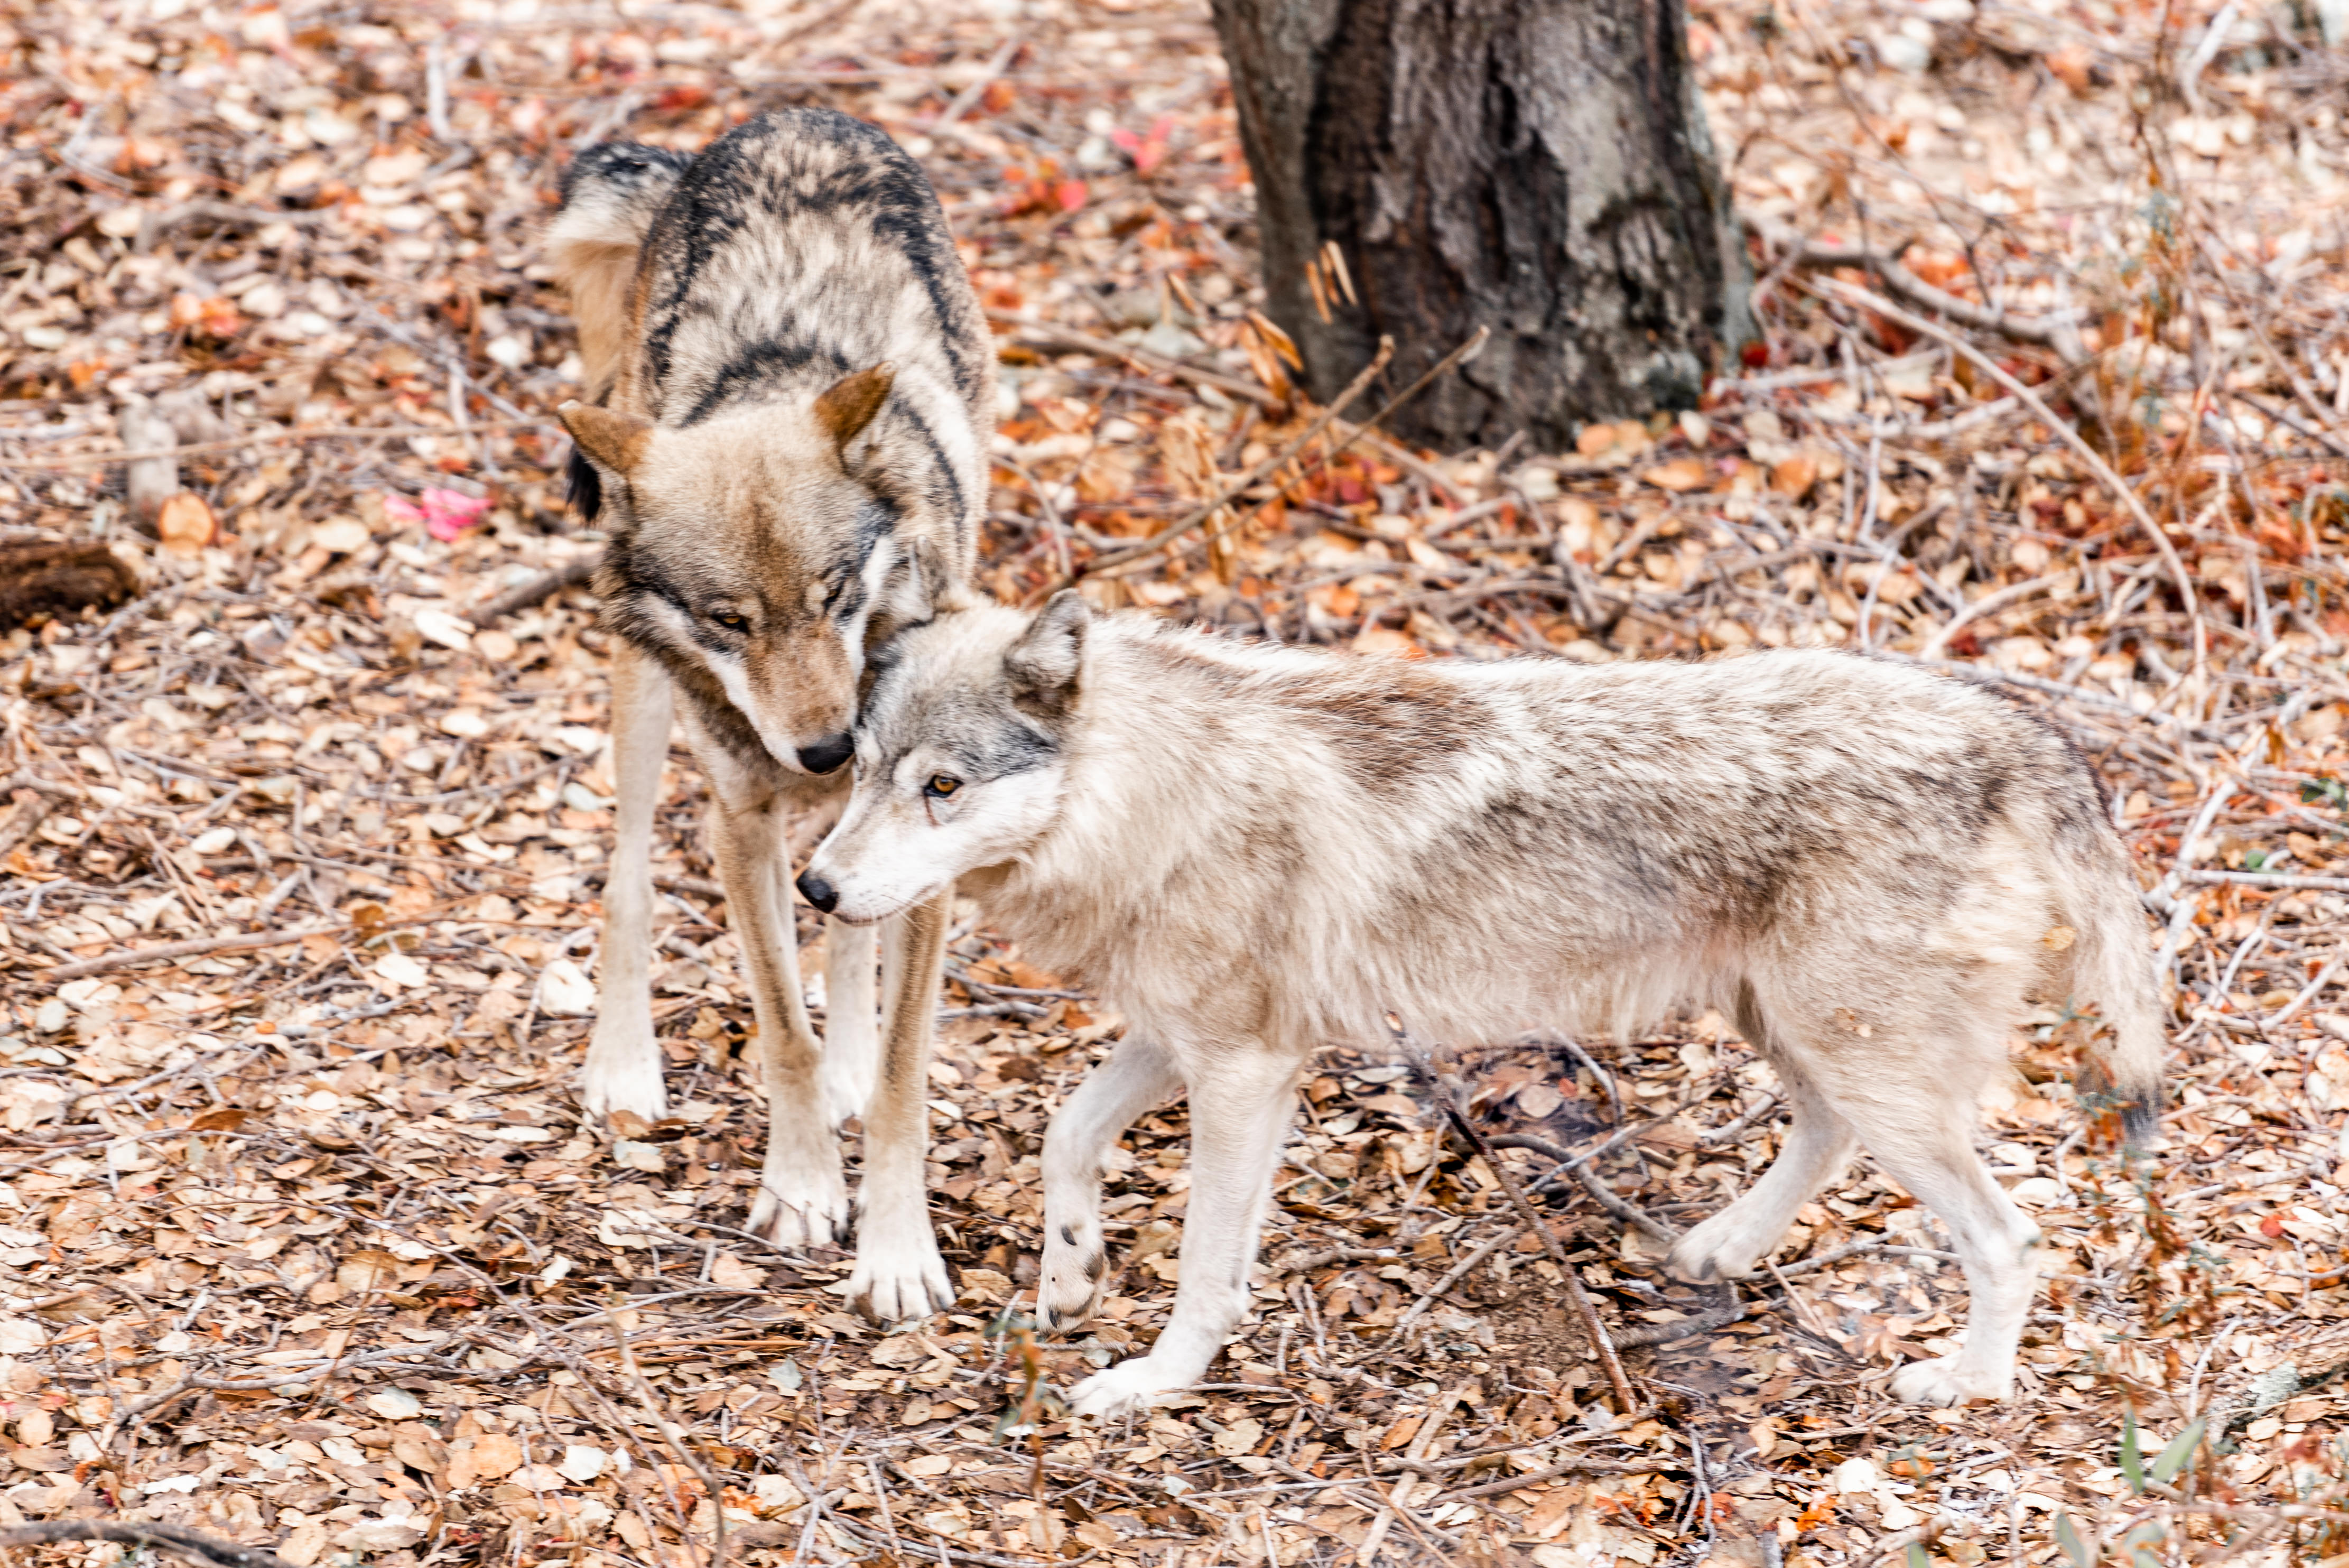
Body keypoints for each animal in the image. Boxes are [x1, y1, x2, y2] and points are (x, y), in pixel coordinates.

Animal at [545, 109, 995, 1318]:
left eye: (837, 594)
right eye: (729, 619)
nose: (830, 747)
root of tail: (788, 117)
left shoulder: (923, 857)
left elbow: (898, 1076)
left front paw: (896, 1249)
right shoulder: (743, 822)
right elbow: (782, 1032)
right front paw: (800, 1190)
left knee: (846, 929)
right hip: (641, 699)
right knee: (629, 876)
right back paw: (623, 1064)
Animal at [798, 594, 2165, 1415]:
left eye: (942, 786)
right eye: (862, 770)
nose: (814, 883)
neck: (1157, 792)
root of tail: (2007, 727)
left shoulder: (1244, 1068)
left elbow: (1201, 1265)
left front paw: (1153, 1381)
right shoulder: (1186, 1036)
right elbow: (1065, 1131)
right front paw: (1073, 1269)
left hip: (1865, 1064)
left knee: (2007, 1235)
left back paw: (1968, 1383)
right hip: (1802, 1037)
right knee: (1824, 1137)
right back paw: (1719, 1249)